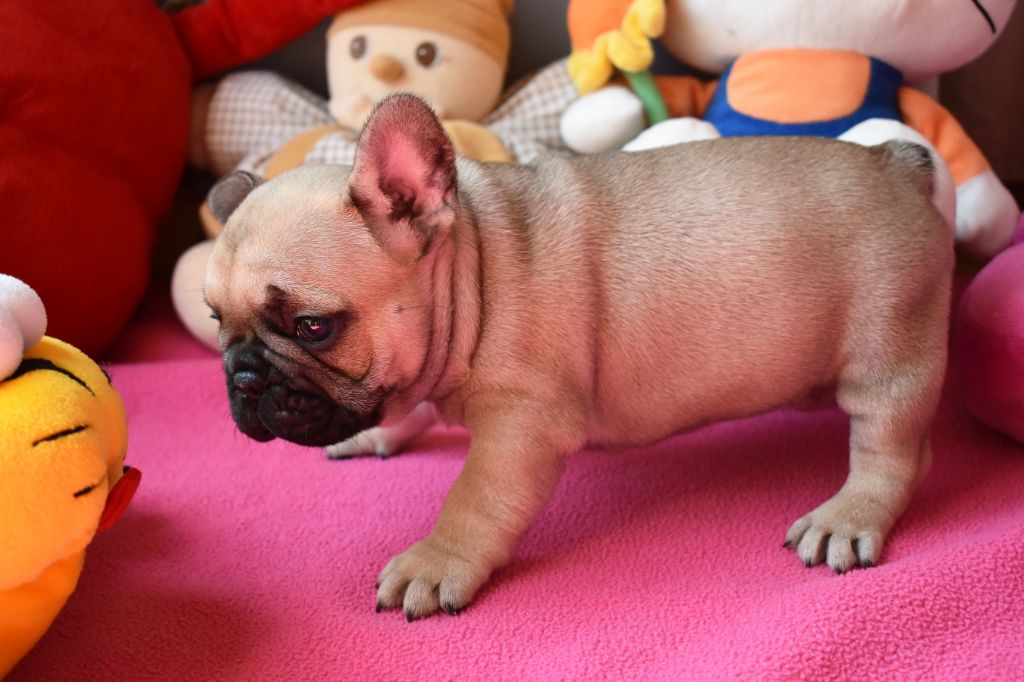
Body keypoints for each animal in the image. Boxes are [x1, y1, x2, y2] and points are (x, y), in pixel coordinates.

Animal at [203, 94, 952, 621]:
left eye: (312, 326)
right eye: (214, 319)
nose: (243, 378)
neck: (475, 270)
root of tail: (896, 162)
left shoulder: (522, 427)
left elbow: (474, 499)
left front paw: (437, 561)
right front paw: (379, 434)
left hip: (887, 353)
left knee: (894, 451)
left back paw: (848, 516)